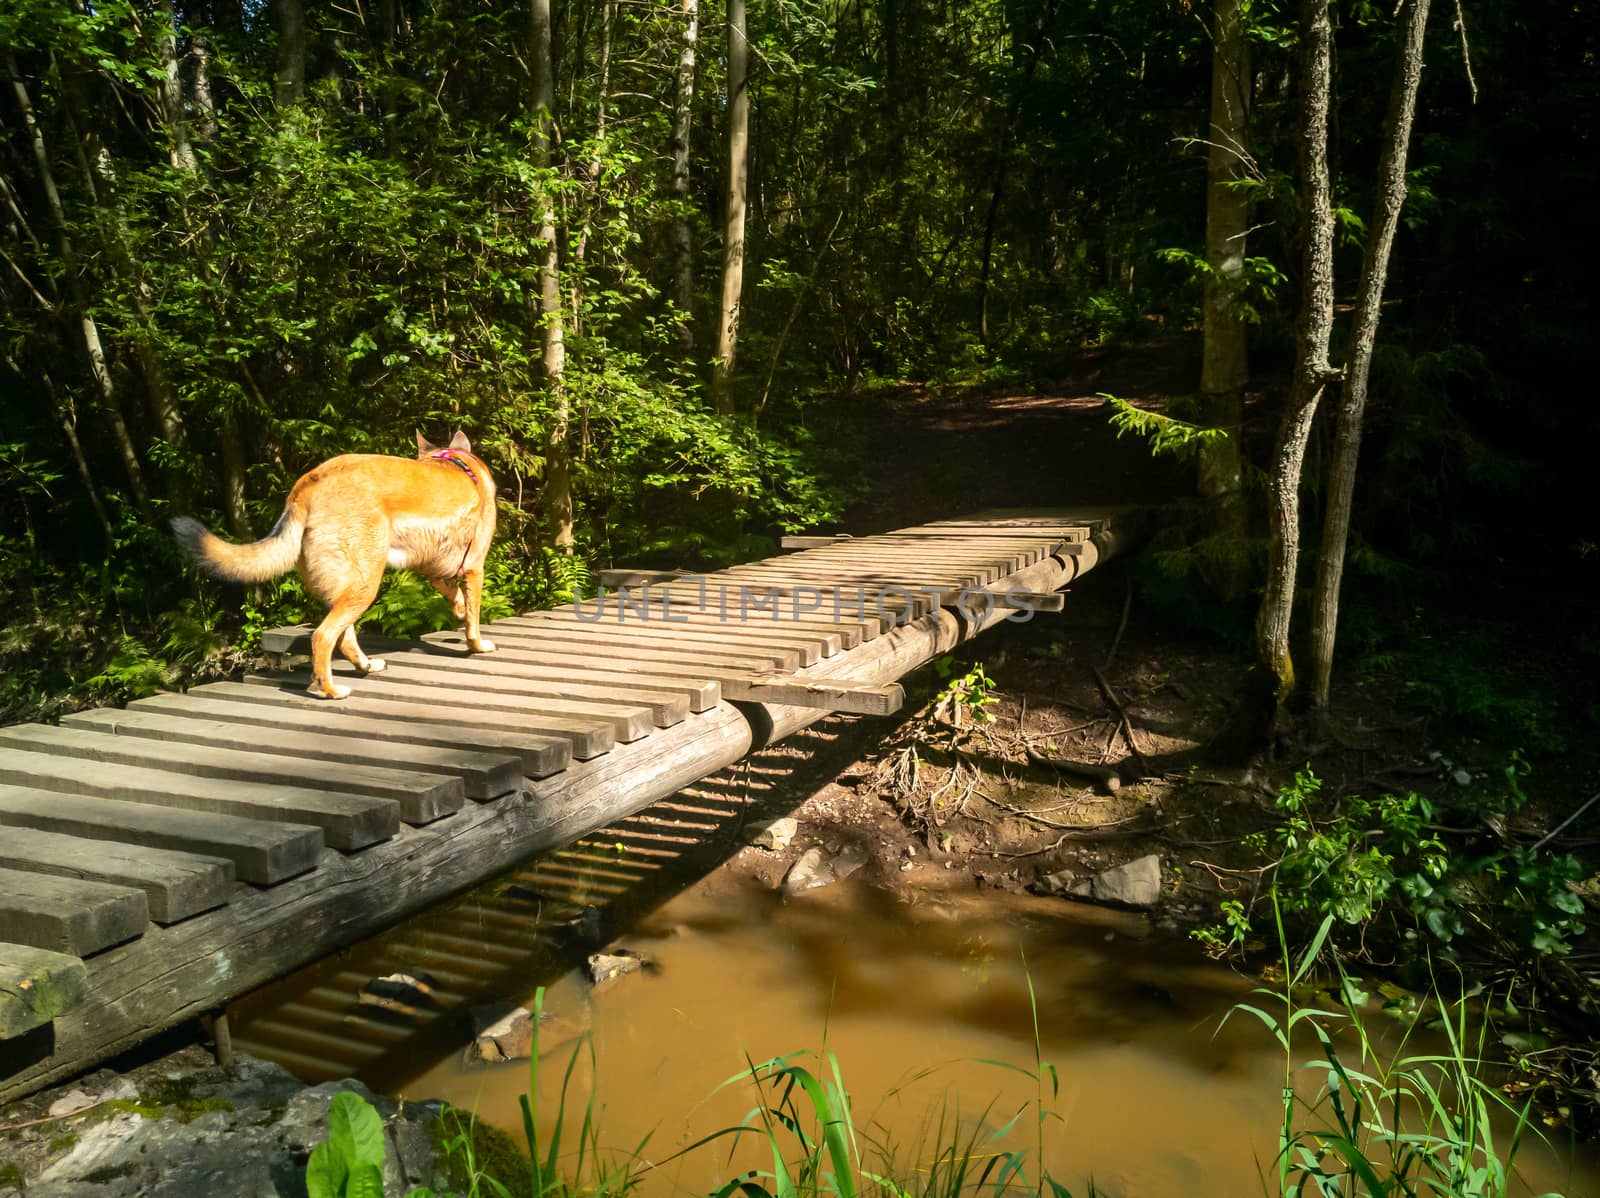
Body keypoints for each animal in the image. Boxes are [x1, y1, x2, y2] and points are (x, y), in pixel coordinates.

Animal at [171, 428, 496, 697]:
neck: (460, 465)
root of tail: (307, 486)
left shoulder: (431, 568)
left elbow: (454, 595)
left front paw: (458, 611)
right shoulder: (473, 567)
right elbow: (473, 617)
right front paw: (477, 645)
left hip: (348, 587)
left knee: (344, 637)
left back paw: (365, 666)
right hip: (365, 584)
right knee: (323, 636)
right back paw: (330, 690)